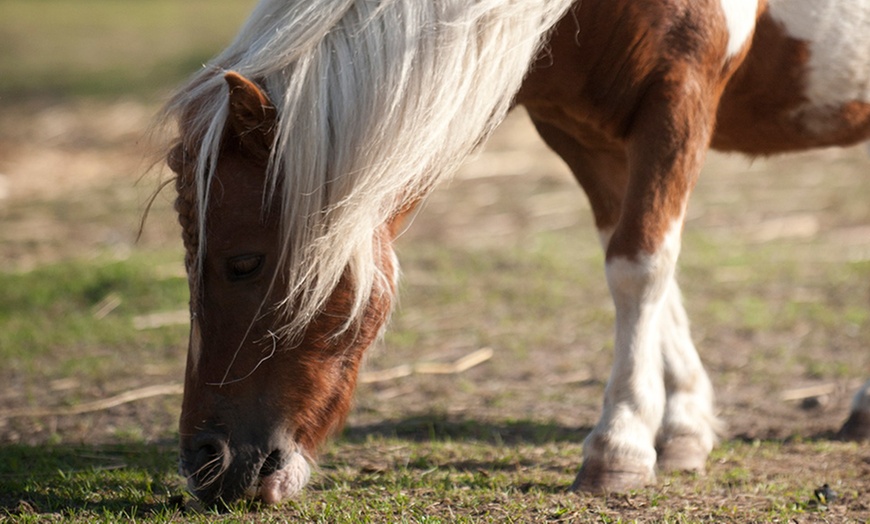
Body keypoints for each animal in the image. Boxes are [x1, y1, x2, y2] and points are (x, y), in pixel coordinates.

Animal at [165, 0, 870, 508]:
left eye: (244, 262)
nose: (208, 465)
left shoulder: (680, 93)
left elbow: (641, 265)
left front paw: (618, 447)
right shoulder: (578, 131)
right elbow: (633, 260)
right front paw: (683, 426)